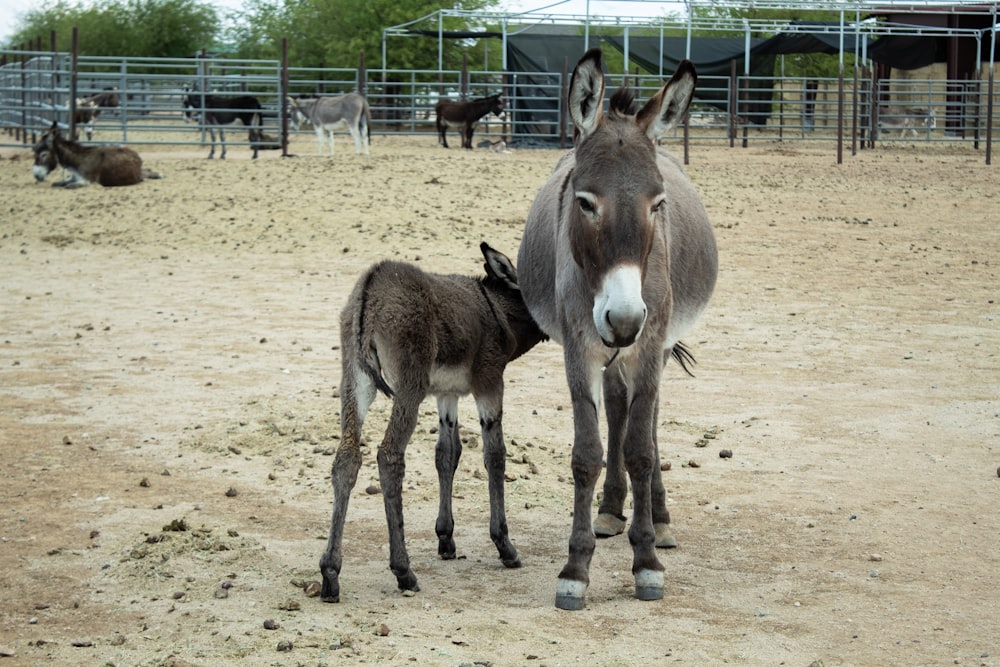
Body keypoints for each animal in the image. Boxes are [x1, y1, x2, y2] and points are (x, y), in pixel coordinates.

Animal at [322, 243, 548, 604]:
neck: (496, 307)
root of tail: (372, 285)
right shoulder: (490, 383)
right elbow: (495, 456)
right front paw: (505, 546)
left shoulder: (447, 394)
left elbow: (447, 454)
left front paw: (446, 539)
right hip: (410, 384)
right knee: (389, 456)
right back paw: (403, 571)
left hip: (354, 380)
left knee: (347, 458)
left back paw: (330, 572)